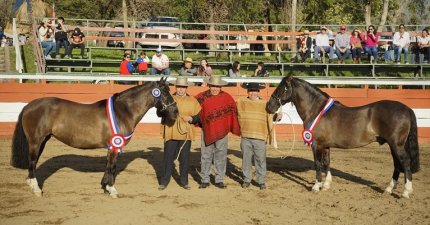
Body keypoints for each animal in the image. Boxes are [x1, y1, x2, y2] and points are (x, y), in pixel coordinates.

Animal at [10, 77, 178, 197]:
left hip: (42, 141)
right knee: (32, 162)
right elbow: (112, 166)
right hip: (35, 141)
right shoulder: (115, 146)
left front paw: (105, 187)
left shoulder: (111, 147)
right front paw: (112, 190)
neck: (123, 111)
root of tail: (29, 105)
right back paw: (36, 189)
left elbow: (108, 166)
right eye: (164, 92)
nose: (175, 111)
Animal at [268, 76, 418, 199]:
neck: (316, 110)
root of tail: (406, 109)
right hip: (393, 145)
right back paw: (388, 189)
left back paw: (406, 192)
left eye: (282, 88)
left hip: (396, 145)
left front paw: (316, 186)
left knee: (405, 163)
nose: (269, 107)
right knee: (397, 164)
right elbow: (326, 163)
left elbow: (317, 164)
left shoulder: (316, 145)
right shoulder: (325, 145)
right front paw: (326, 185)